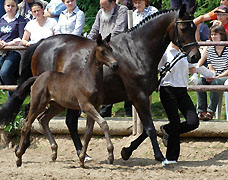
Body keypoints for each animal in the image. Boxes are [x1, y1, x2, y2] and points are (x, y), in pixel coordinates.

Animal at [15, 33, 118, 167]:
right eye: (102, 51)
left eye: (111, 49)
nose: (115, 65)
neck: (89, 78)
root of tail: (38, 77)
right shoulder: (86, 105)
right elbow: (104, 123)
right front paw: (110, 155)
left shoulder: (94, 107)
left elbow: (88, 132)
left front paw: (82, 159)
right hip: (38, 103)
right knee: (27, 123)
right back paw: (19, 157)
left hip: (57, 106)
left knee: (43, 119)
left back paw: (54, 152)